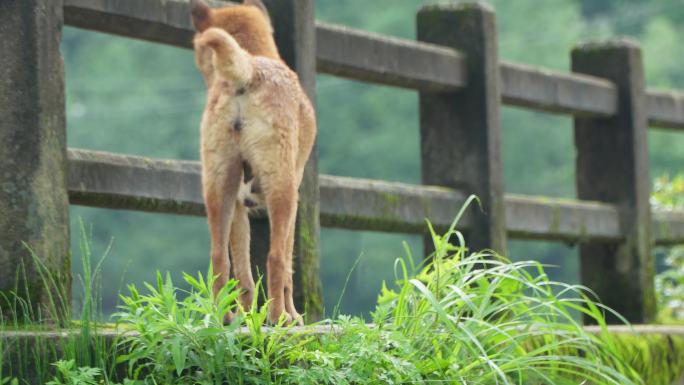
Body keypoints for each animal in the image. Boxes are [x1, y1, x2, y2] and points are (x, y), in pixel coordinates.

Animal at [191, 0, 316, 324]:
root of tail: (246, 71)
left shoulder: (237, 204)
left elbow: (244, 274)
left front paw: (247, 315)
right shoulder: (294, 200)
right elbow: (287, 267)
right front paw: (293, 316)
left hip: (217, 187)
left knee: (219, 258)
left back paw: (224, 317)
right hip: (282, 188)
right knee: (275, 259)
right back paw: (278, 317)